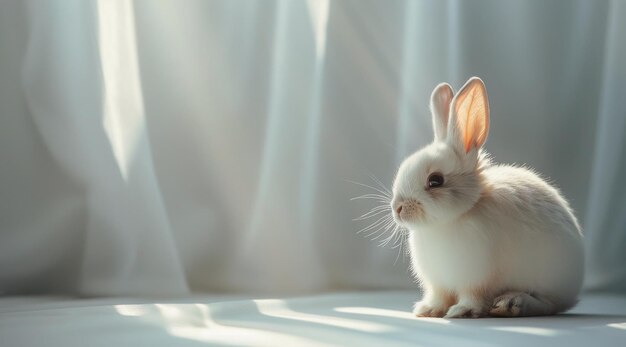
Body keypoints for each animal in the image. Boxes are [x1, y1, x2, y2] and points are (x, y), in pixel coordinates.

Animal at [392, 77, 584, 320]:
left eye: (435, 181)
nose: (397, 208)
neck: (449, 221)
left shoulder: (476, 278)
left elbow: (472, 297)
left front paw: (461, 312)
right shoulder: (439, 284)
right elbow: (440, 297)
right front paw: (428, 310)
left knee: (548, 304)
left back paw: (511, 303)